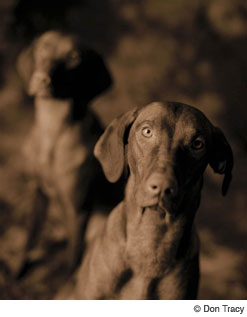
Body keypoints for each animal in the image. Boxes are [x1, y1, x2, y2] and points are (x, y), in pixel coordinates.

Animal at [17, 29, 113, 272]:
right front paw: (19, 268)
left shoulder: (78, 210)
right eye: (43, 47)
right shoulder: (37, 190)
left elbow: (72, 259)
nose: (41, 79)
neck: (52, 131)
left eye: (74, 58)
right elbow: (30, 236)